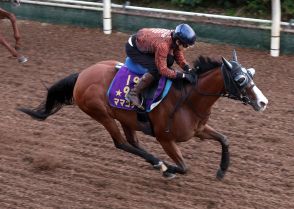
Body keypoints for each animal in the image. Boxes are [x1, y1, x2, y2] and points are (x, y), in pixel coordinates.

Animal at [17, 50, 268, 180]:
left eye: (251, 73)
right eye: (240, 79)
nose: (263, 102)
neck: (188, 99)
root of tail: (82, 75)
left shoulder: (198, 130)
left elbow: (224, 139)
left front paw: (222, 170)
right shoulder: (165, 139)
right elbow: (184, 167)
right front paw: (170, 168)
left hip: (125, 118)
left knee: (132, 142)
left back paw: (156, 163)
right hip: (102, 114)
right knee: (121, 143)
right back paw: (160, 164)